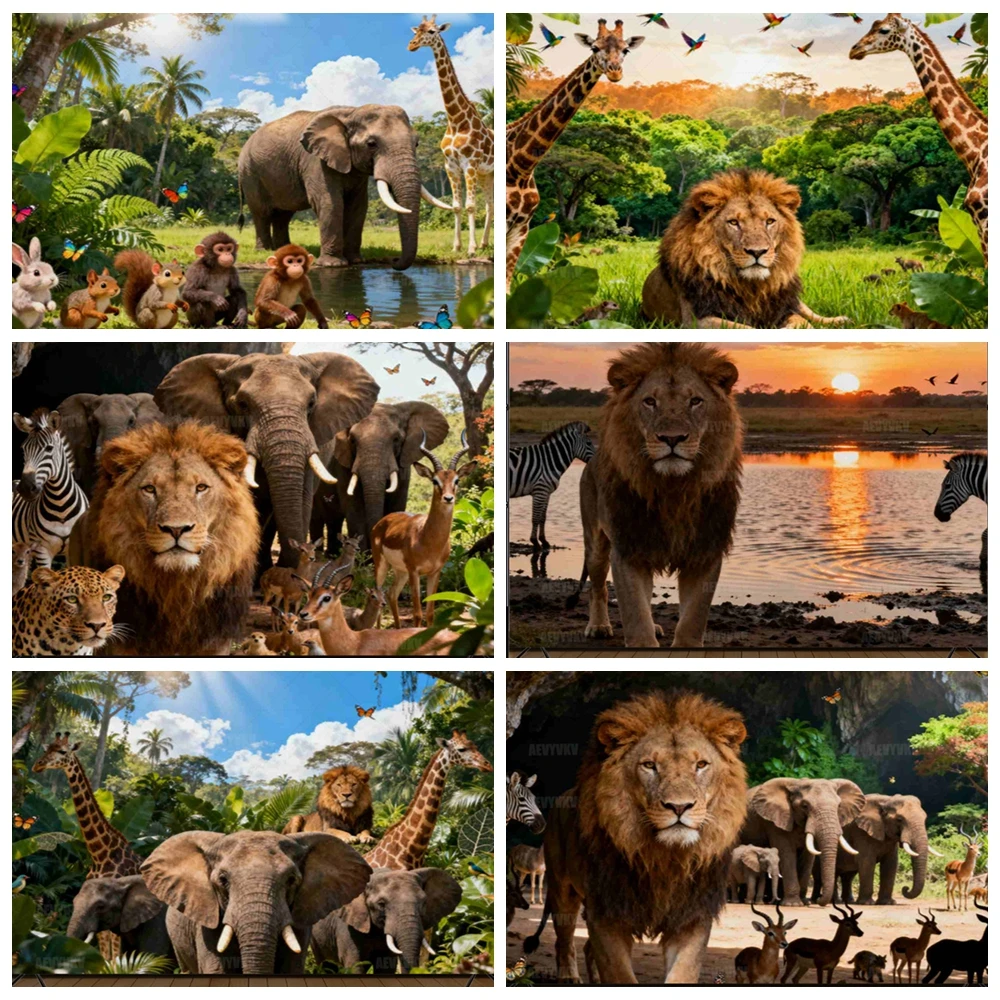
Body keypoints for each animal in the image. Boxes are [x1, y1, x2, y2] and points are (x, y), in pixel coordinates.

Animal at [409, 16, 495, 256]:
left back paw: (482, 244)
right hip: (485, 174)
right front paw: (457, 246)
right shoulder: (451, 165)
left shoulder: (470, 164)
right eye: (416, 31)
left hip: (487, 172)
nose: (411, 45)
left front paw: (471, 249)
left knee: (489, 204)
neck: (456, 121)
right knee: (490, 204)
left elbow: (470, 206)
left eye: (432, 31)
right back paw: (485, 243)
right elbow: (457, 206)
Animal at [525, 690, 747, 983]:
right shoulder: (606, 913)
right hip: (563, 889)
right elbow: (619, 974)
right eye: (649, 765)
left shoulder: (692, 916)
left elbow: (682, 973)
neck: (664, 858)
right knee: (564, 939)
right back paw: (569, 977)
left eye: (701, 765)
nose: (679, 807)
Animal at [566, 343, 742, 648]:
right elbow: (635, 614)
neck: (674, 489)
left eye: (695, 401)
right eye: (649, 401)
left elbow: (694, 617)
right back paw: (598, 626)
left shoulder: (705, 550)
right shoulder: (628, 547)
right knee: (597, 587)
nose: (672, 438)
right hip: (595, 542)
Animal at [641, 169, 849, 329]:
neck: (751, 288)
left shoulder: (783, 307)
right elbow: (747, 329)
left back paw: (840, 320)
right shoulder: (695, 320)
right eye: (734, 222)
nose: (757, 252)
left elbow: (803, 322)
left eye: (769, 221)